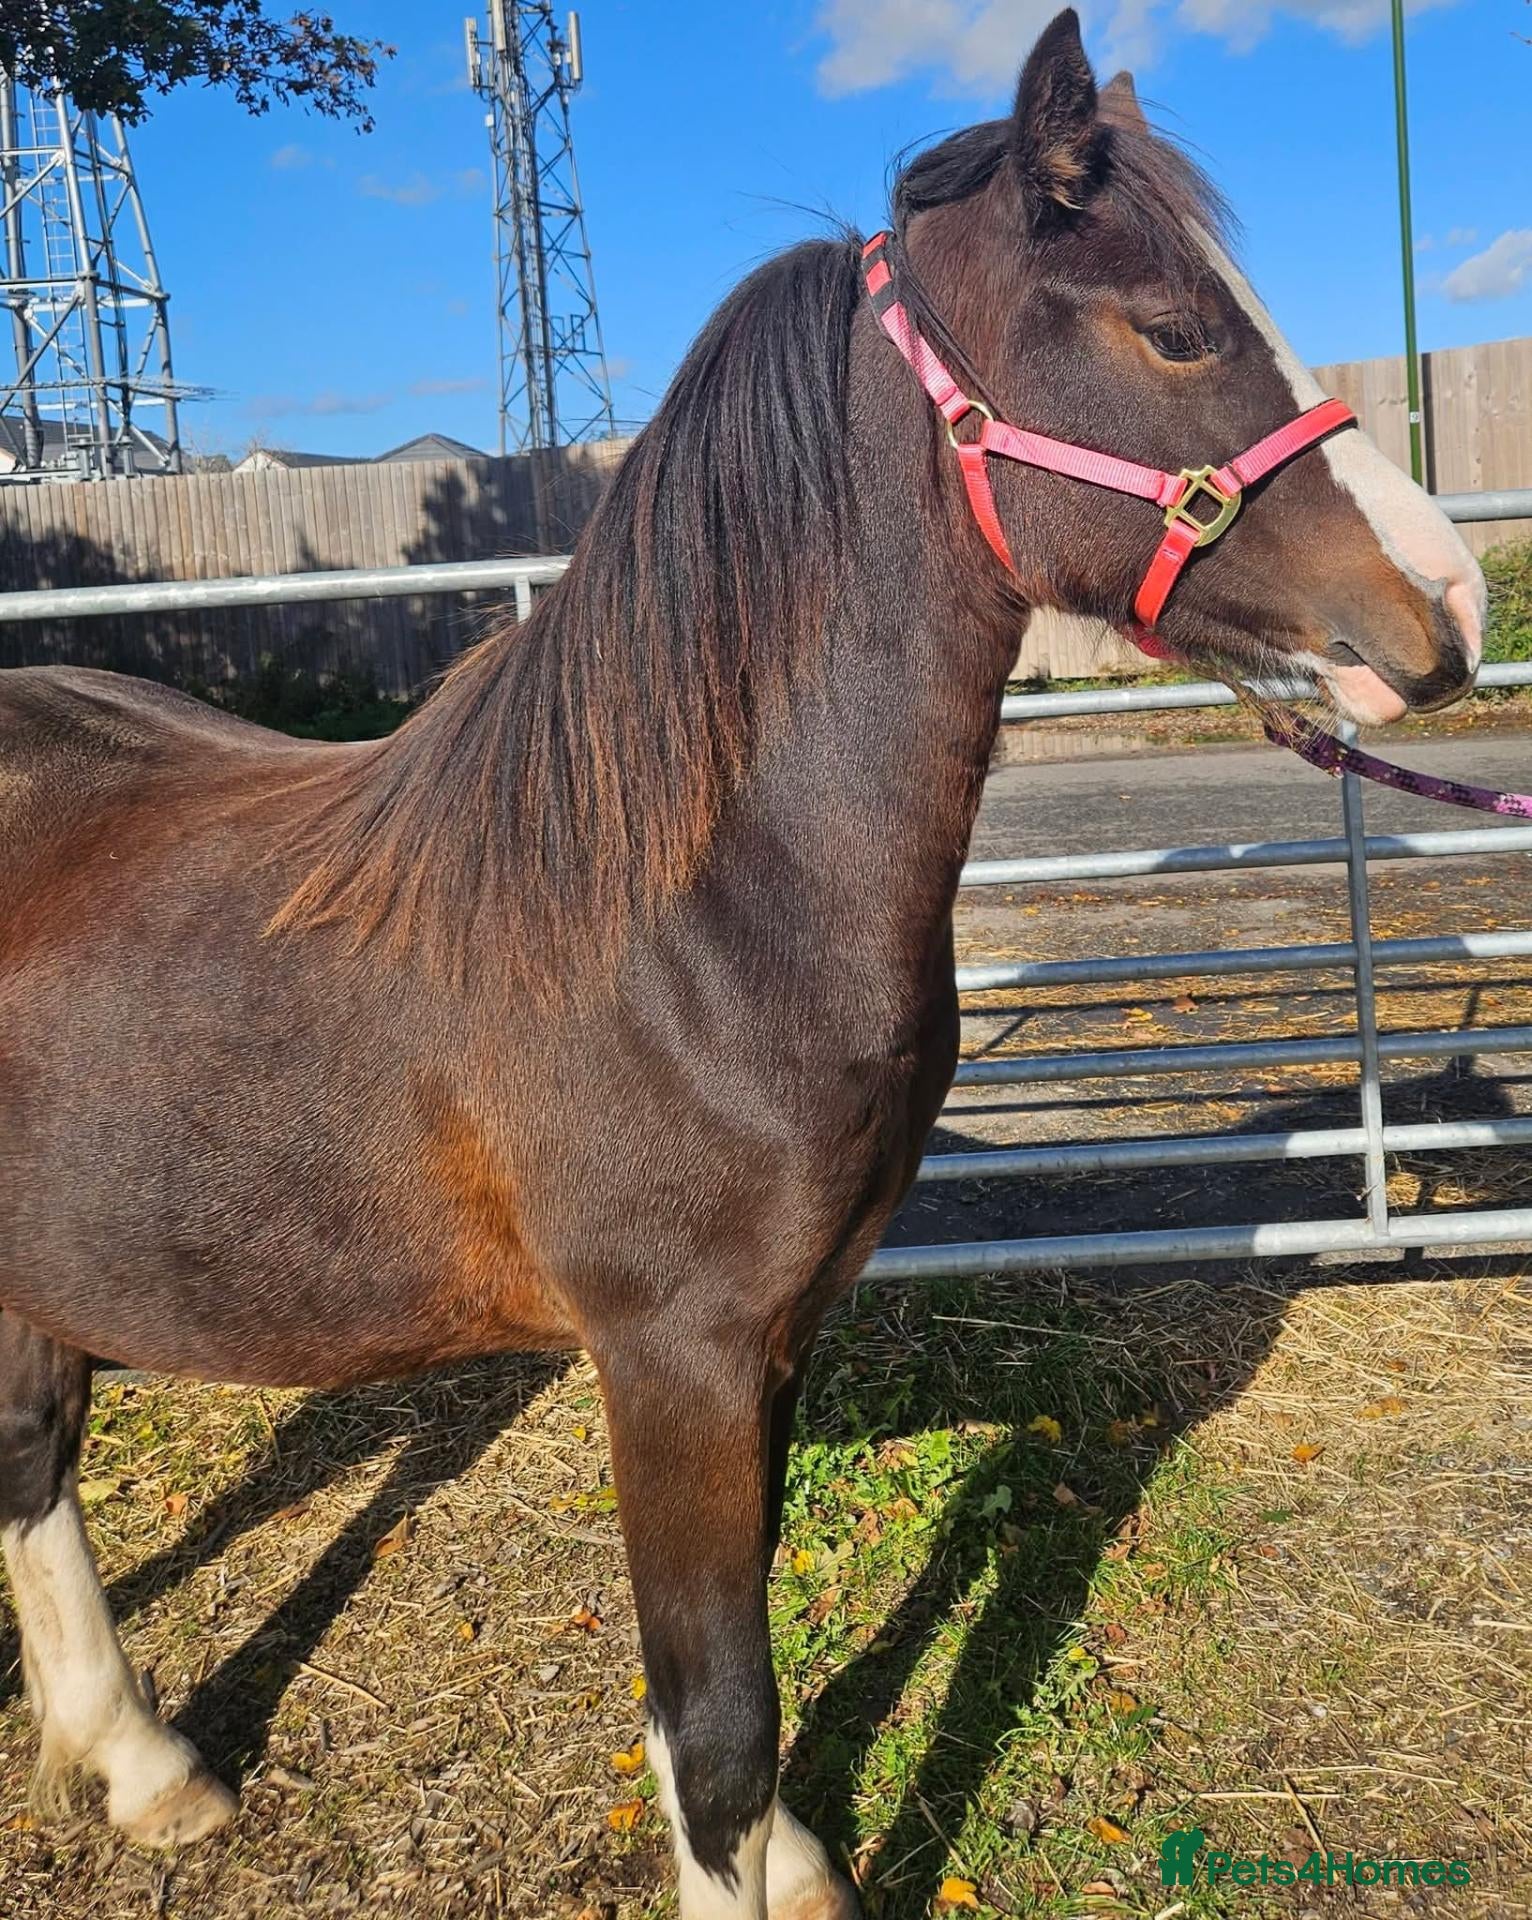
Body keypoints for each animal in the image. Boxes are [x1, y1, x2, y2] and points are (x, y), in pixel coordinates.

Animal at [0, 13, 1484, 1918]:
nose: (1451, 614)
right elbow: (711, 1718)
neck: (688, 921)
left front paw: (792, 1864)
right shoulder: (675, 1361)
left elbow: (731, 1685)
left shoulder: (775, 1339)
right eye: (1173, 330)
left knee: (33, 1460)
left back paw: (143, 1765)